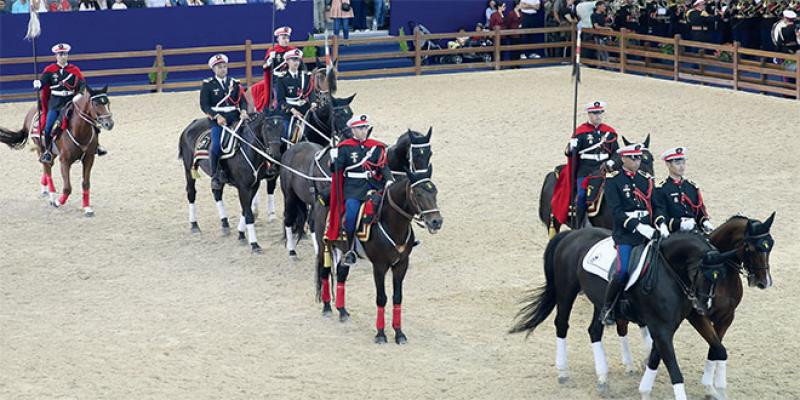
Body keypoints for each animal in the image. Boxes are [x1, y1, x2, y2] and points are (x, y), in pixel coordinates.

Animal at [0, 84, 114, 216]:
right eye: (95, 104)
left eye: (107, 102)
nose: (109, 123)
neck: (79, 130)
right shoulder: (64, 161)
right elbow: (67, 188)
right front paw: (58, 202)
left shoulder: (89, 159)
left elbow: (86, 184)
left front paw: (87, 208)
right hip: (41, 148)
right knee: (47, 167)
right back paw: (52, 195)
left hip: (52, 152)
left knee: (47, 165)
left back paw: (45, 189)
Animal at [177, 110, 282, 253]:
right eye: (268, 128)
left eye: (282, 127)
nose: (276, 156)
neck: (248, 148)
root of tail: (191, 125)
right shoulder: (243, 187)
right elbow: (248, 213)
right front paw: (254, 244)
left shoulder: (254, 185)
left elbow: (246, 209)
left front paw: (241, 234)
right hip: (189, 168)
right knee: (191, 192)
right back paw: (194, 225)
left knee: (217, 193)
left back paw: (225, 224)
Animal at [312, 170, 446, 344]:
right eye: (418, 193)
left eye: (435, 191)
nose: (436, 221)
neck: (392, 224)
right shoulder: (379, 267)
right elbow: (381, 298)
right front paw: (381, 334)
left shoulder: (401, 265)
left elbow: (397, 297)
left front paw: (399, 333)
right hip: (324, 246)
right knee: (324, 272)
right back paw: (327, 307)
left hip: (345, 251)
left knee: (341, 273)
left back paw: (342, 311)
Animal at [510, 230, 736, 398]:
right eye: (704, 275)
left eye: (720, 277)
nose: (704, 306)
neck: (669, 271)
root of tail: (571, 234)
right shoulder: (661, 327)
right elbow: (673, 369)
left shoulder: (677, 322)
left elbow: (714, 349)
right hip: (566, 290)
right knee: (562, 325)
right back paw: (563, 372)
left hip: (600, 302)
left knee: (594, 331)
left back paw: (602, 378)